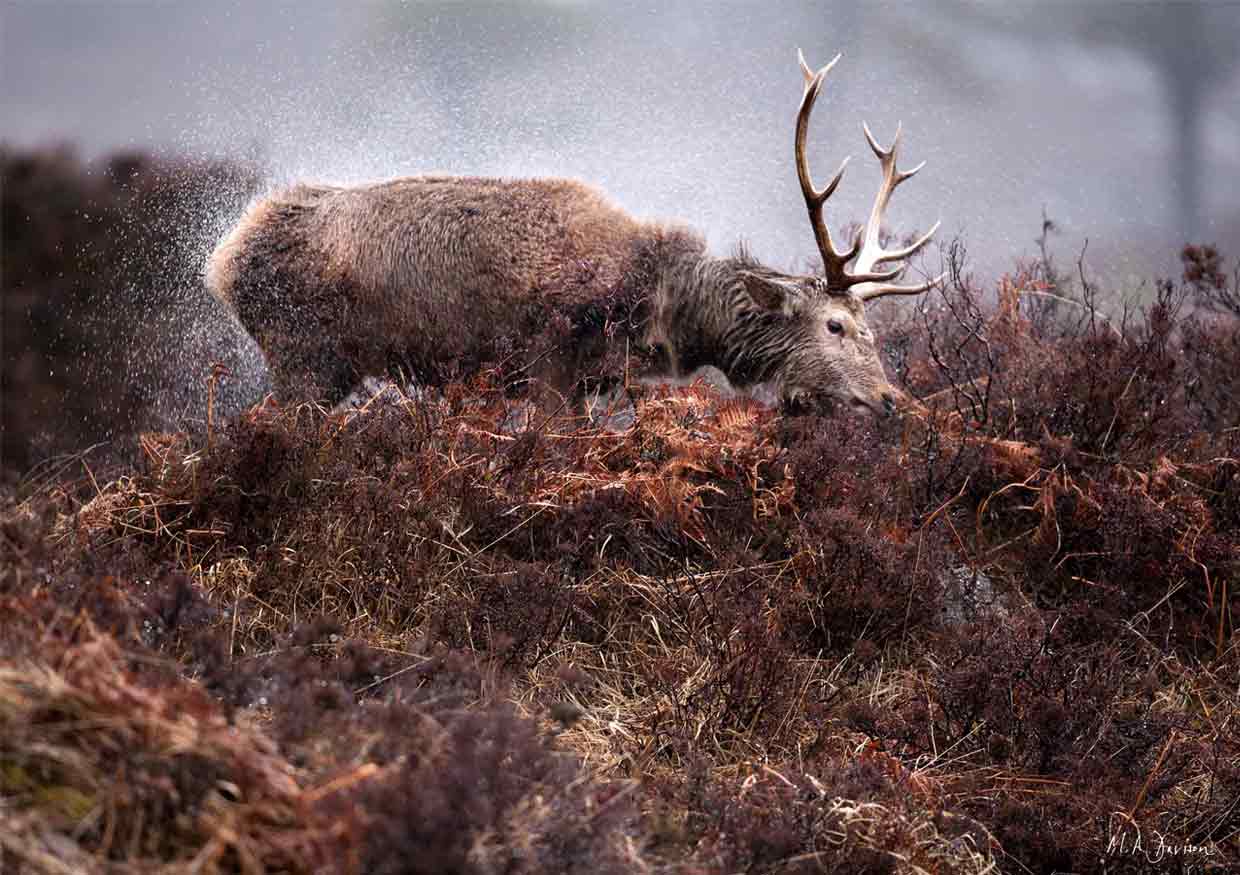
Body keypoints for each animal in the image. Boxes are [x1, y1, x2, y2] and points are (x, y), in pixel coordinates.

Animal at [205, 51, 943, 417]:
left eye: (868, 327)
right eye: (834, 326)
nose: (890, 400)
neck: (650, 310)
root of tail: (222, 260)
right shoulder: (548, 367)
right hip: (306, 357)